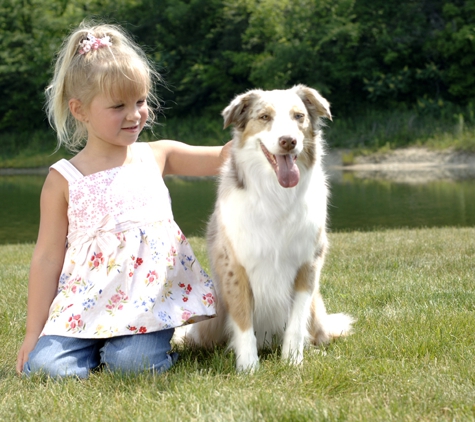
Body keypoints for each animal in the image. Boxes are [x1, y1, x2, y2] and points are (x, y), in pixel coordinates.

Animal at [178, 84, 354, 370]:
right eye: (264, 117)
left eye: (299, 116)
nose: (288, 141)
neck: (276, 194)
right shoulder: (235, 265)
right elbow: (243, 322)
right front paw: (248, 367)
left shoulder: (307, 264)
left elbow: (296, 322)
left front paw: (293, 361)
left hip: (317, 306)